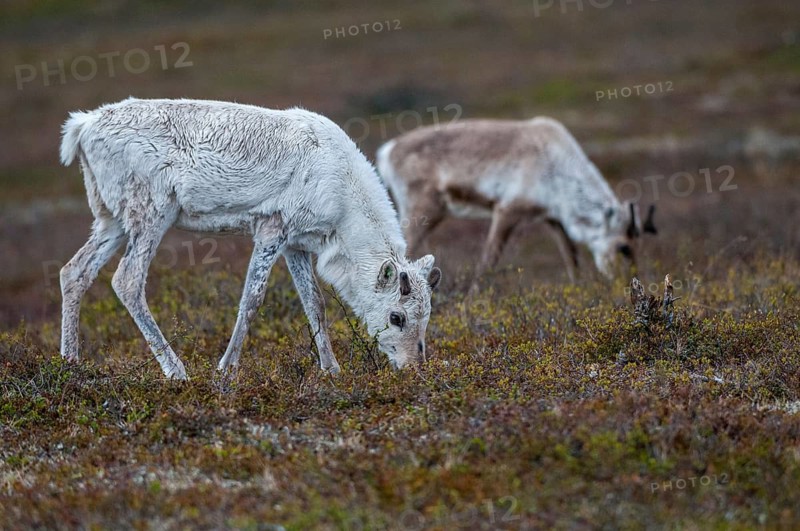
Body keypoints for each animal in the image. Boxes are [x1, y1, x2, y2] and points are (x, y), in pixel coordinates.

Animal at [59, 97, 442, 380]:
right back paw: (176, 370)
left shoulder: (296, 243)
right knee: (127, 280)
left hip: (111, 220)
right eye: (396, 317)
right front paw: (227, 369)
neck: (343, 202)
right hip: (151, 213)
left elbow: (314, 303)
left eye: (427, 317)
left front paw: (331, 369)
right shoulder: (272, 229)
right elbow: (252, 299)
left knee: (73, 271)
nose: (413, 368)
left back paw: (70, 364)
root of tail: (82, 127)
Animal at [376, 116, 656, 288]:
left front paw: (579, 289)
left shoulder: (553, 219)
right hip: (424, 210)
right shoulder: (507, 210)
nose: (628, 282)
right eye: (623, 247)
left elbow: (572, 258)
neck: (558, 167)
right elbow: (487, 263)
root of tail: (386, 152)